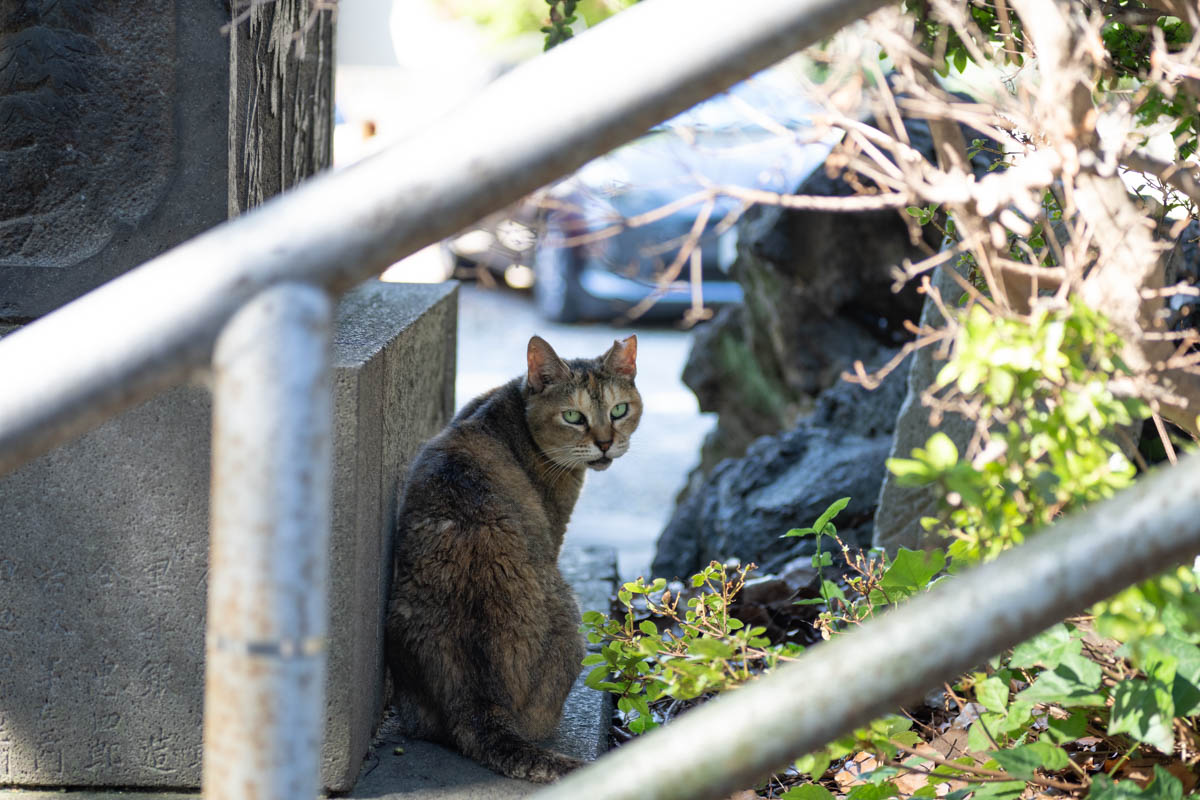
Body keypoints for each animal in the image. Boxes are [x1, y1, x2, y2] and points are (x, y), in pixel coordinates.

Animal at [388, 331, 643, 782]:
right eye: (573, 416)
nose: (605, 444)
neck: (508, 406)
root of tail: (477, 703)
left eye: (619, 410)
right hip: (570, 612)